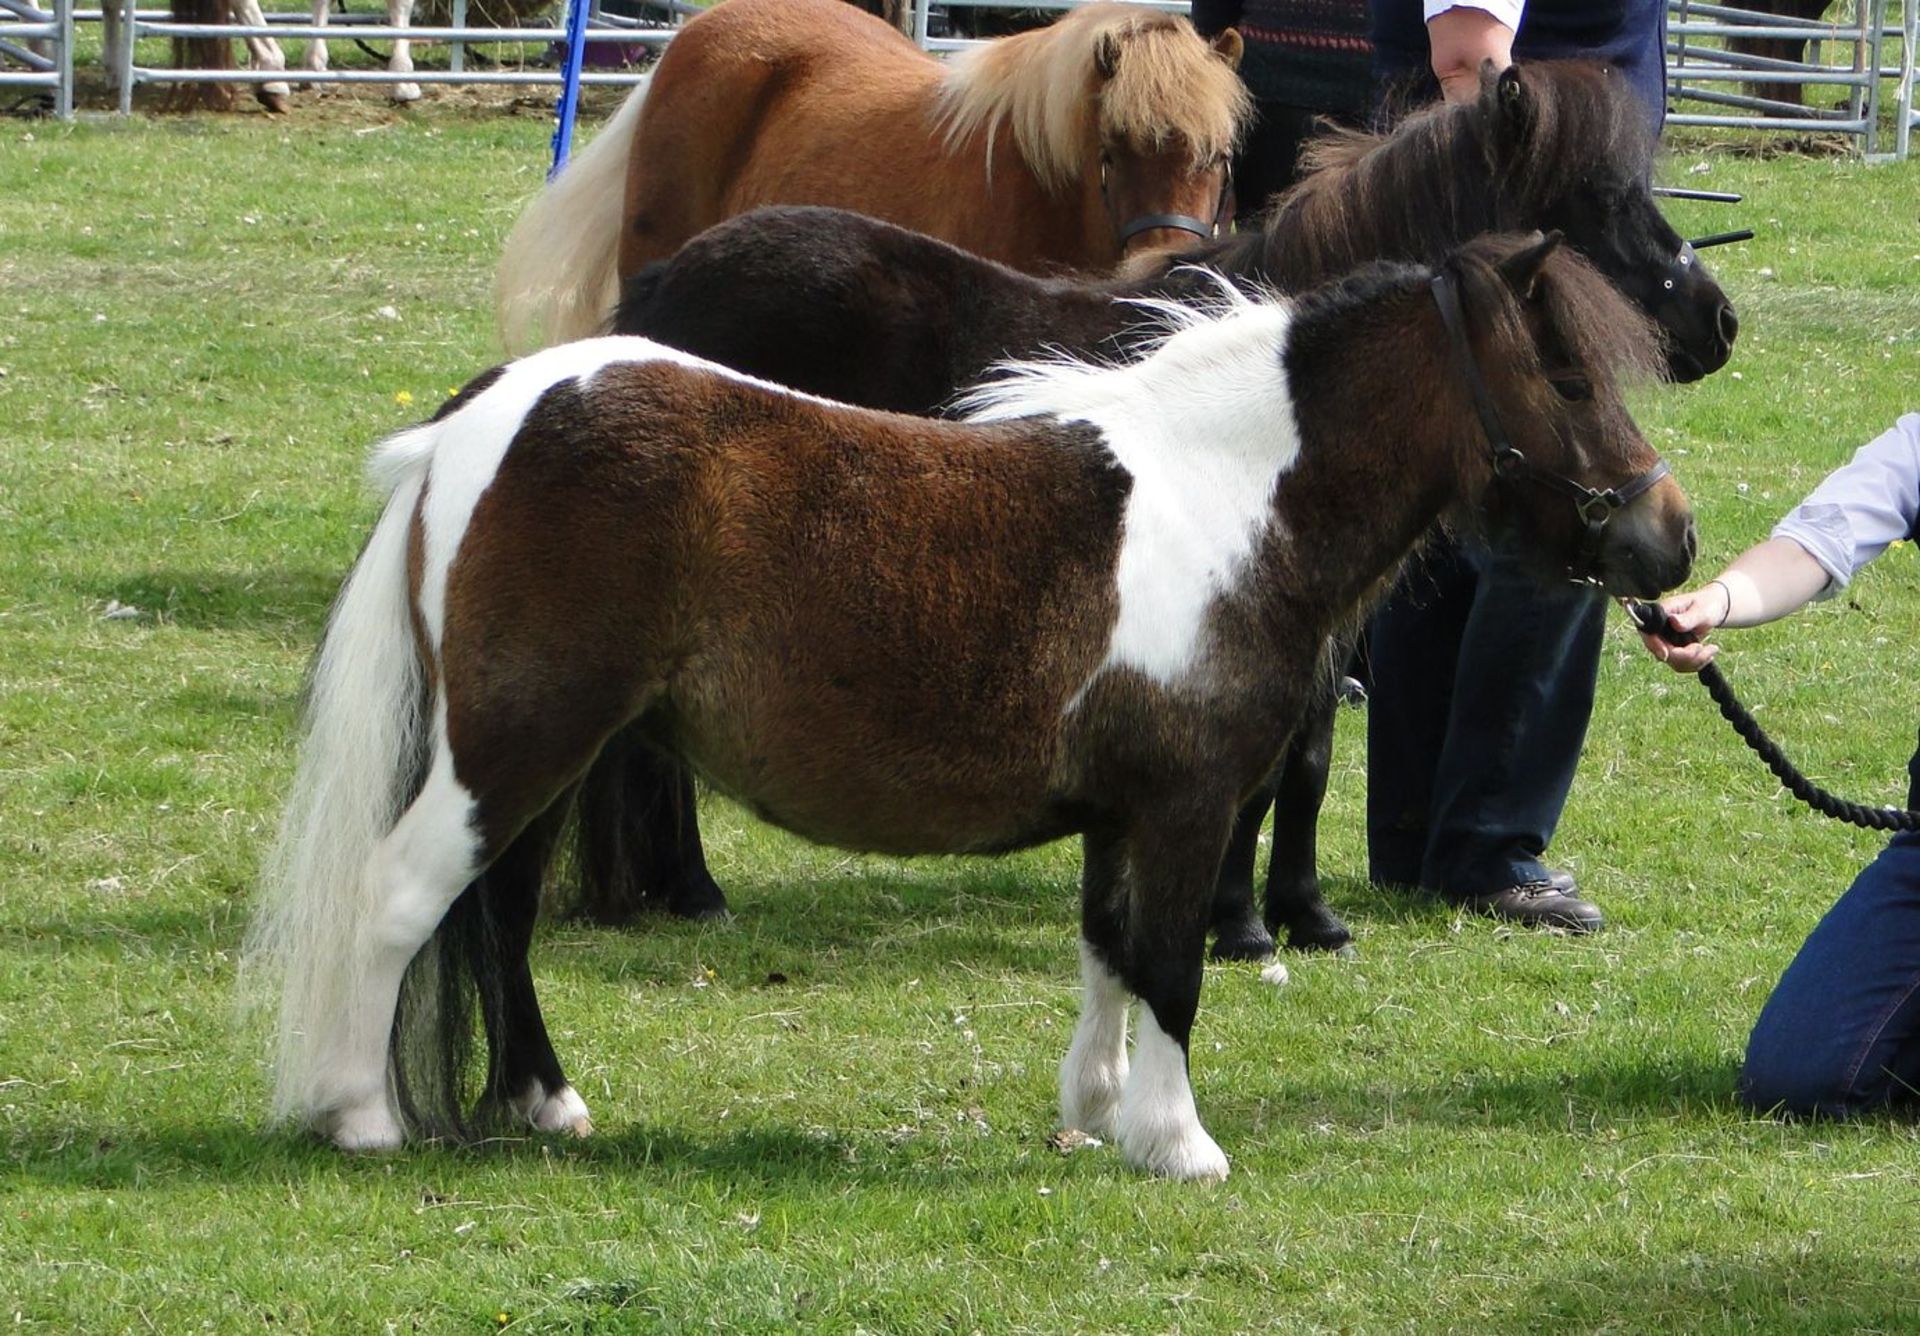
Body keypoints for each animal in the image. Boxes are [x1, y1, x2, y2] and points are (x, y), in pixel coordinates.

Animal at [251, 229, 1697, 1182]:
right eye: (1573, 380)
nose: (1670, 540)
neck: (1224, 501)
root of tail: (484, 416)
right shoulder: (1187, 807)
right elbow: (1172, 966)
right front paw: (1181, 1142)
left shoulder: (1123, 810)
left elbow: (1110, 951)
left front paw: (1099, 1112)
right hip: (516, 745)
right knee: (401, 900)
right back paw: (361, 1117)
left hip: (549, 753)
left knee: (495, 914)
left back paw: (543, 1104)